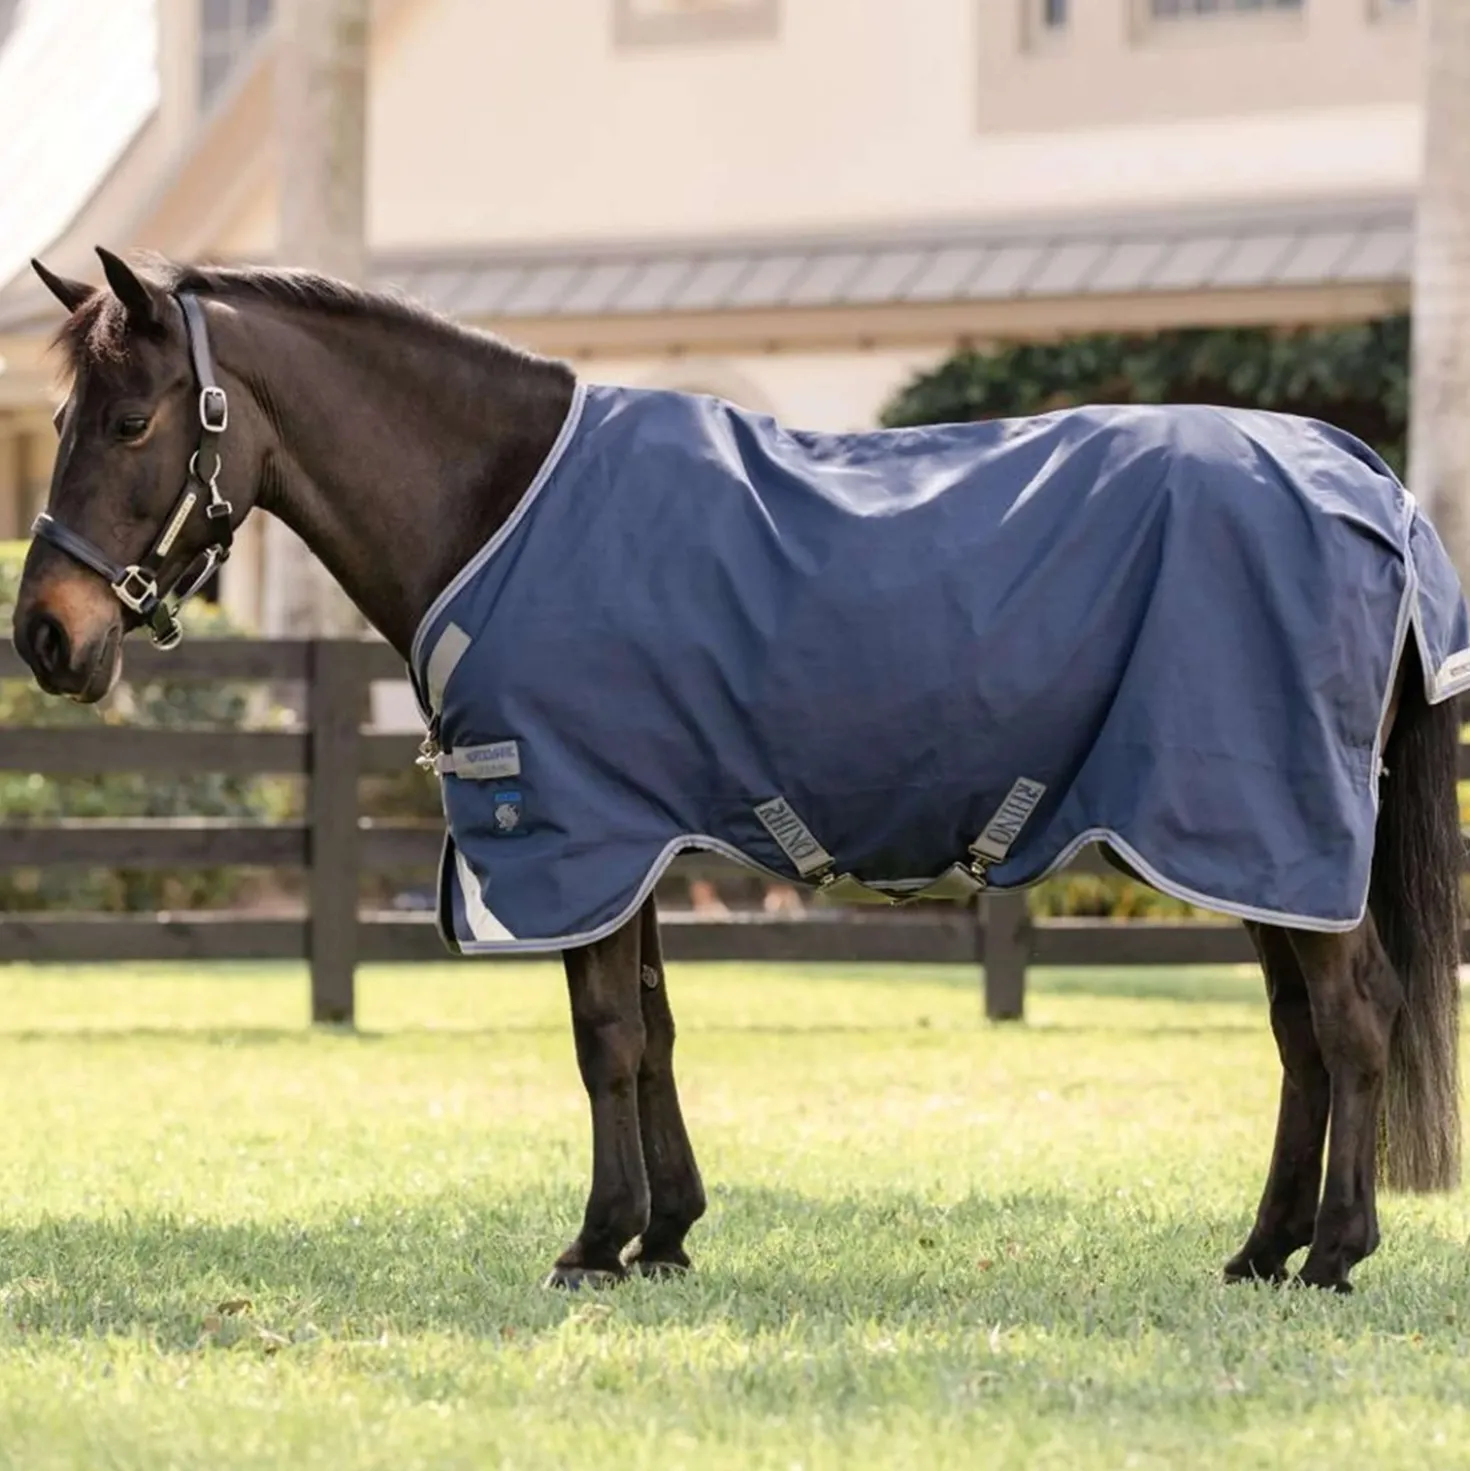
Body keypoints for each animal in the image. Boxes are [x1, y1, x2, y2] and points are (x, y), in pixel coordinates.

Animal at [13, 247, 1466, 1295]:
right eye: (61, 417)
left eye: (132, 420)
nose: (45, 636)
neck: (496, 502)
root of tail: (1369, 484)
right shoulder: (635, 841)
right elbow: (651, 1029)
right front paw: (666, 1232)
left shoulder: (575, 832)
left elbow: (603, 1038)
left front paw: (596, 1242)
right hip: (1251, 846)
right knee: (1299, 1035)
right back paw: (1263, 1249)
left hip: (1266, 824)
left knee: (1353, 1019)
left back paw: (1334, 1253)